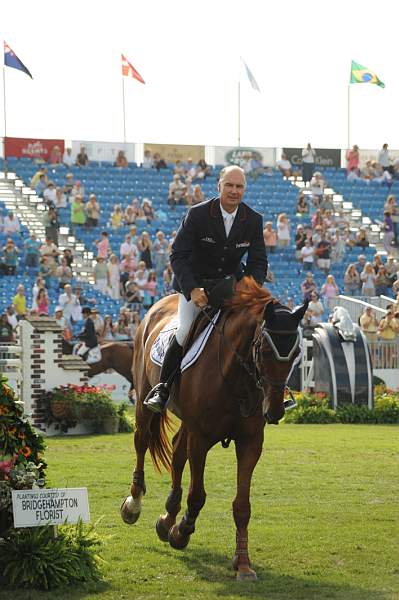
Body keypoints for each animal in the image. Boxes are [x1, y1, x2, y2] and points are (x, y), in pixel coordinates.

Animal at [121, 280, 306, 580]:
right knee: (142, 441)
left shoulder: (250, 442)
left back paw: (167, 518)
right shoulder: (201, 439)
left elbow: (242, 506)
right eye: (265, 351)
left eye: (296, 354)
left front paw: (242, 563)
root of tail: (157, 306)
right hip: (143, 399)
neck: (237, 378)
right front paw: (181, 533)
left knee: (177, 451)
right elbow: (197, 496)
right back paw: (134, 505)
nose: (275, 410)